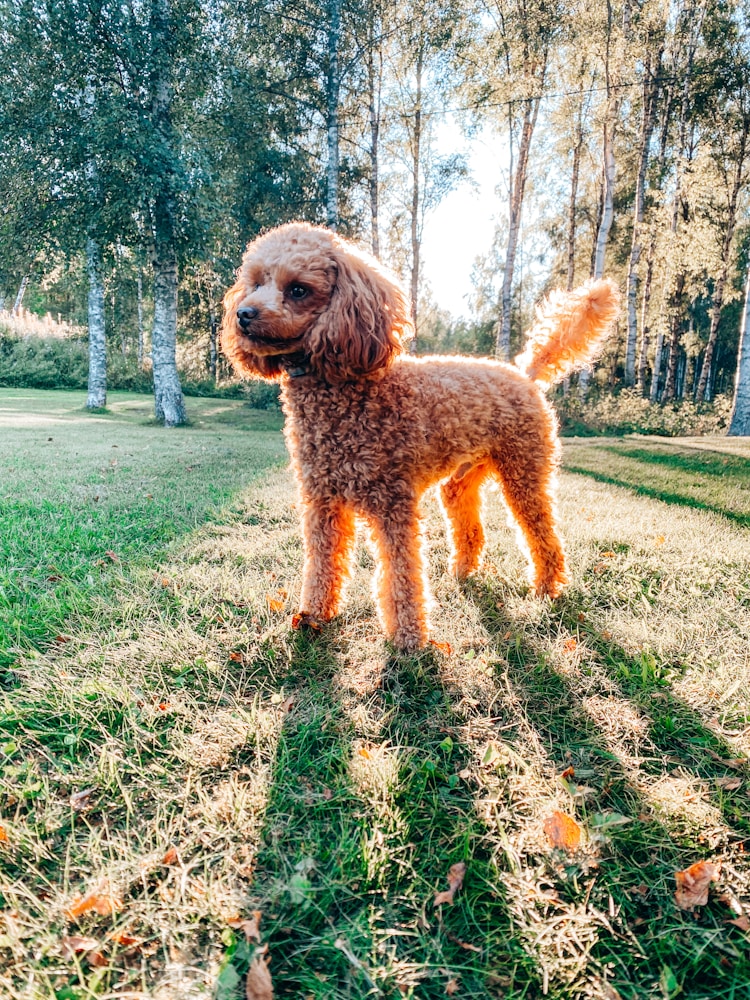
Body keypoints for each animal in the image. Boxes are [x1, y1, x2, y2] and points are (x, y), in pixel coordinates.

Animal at [225, 223, 624, 652]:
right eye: (256, 282)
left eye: (299, 289)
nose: (243, 314)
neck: (344, 390)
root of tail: (524, 374)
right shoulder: (321, 502)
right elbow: (322, 562)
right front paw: (314, 615)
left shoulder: (393, 505)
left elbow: (402, 575)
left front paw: (408, 639)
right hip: (462, 480)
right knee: (470, 527)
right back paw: (463, 571)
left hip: (524, 473)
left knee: (542, 532)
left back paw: (548, 587)